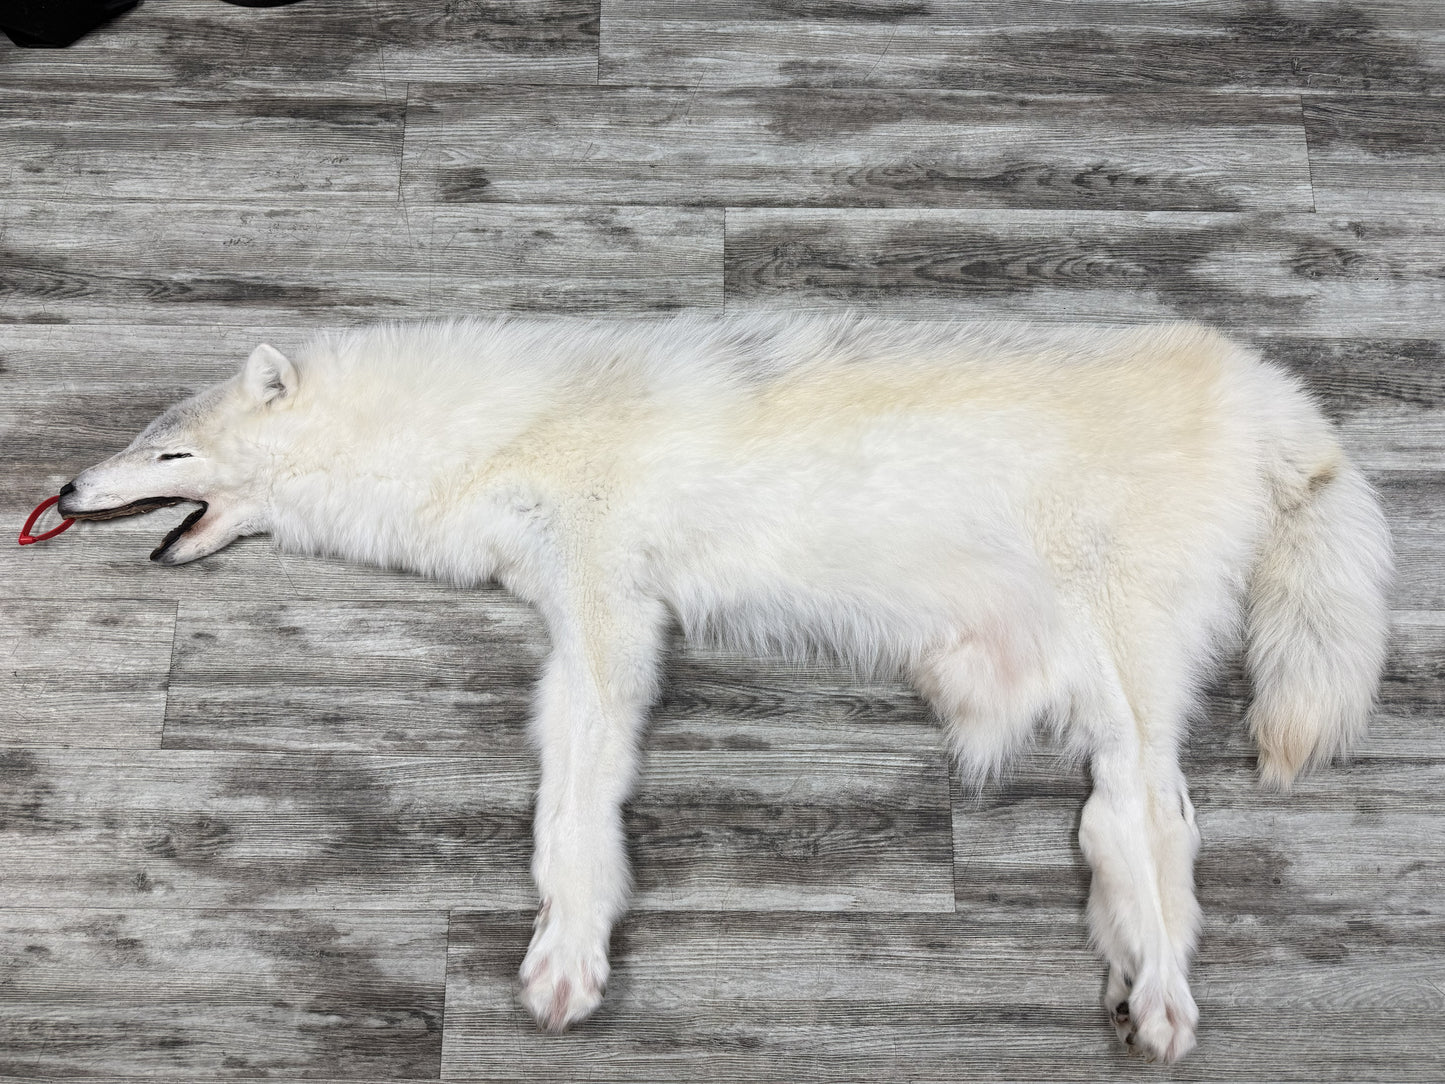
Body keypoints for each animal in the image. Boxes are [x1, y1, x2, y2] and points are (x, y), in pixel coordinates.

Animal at [57, 314, 1392, 1061]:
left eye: (168, 447)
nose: (63, 489)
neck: (485, 432)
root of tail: (1271, 392)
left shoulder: (609, 612)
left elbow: (572, 801)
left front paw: (566, 954)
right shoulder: (581, 611)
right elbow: (566, 791)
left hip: (1120, 669)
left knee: (1155, 823)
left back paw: (1158, 994)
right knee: (1120, 825)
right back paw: (1125, 977)